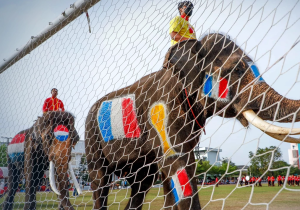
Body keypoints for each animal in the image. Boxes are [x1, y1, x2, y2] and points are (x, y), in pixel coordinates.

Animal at [85, 33, 300, 209]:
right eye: (236, 70)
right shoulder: (163, 111)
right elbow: (177, 164)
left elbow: (173, 171)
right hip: (92, 136)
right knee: (100, 179)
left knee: (142, 182)